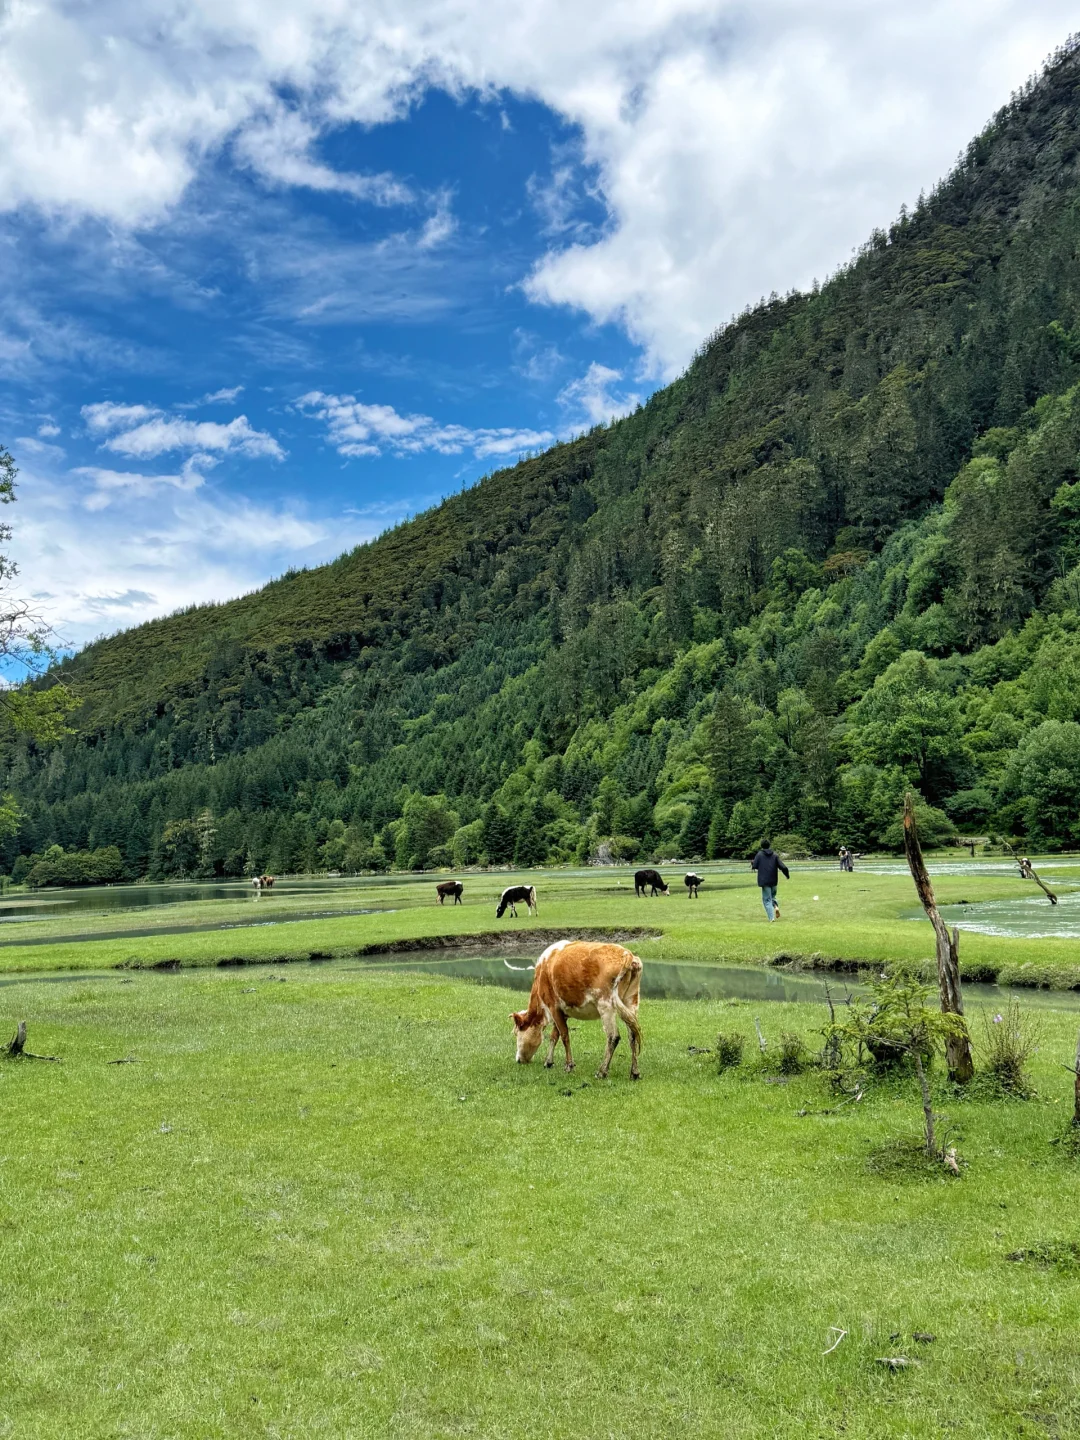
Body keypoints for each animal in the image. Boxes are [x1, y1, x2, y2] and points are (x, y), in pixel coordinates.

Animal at [509, 944, 642, 1082]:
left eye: (516, 1033)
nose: (518, 1060)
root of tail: (628, 955)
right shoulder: (563, 1011)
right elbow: (554, 1035)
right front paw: (548, 1062)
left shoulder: (553, 1007)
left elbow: (564, 1035)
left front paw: (569, 1066)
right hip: (631, 1001)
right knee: (633, 1035)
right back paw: (634, 1072)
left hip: (605, 1005)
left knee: (613, 1036)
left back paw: (602, 1071)